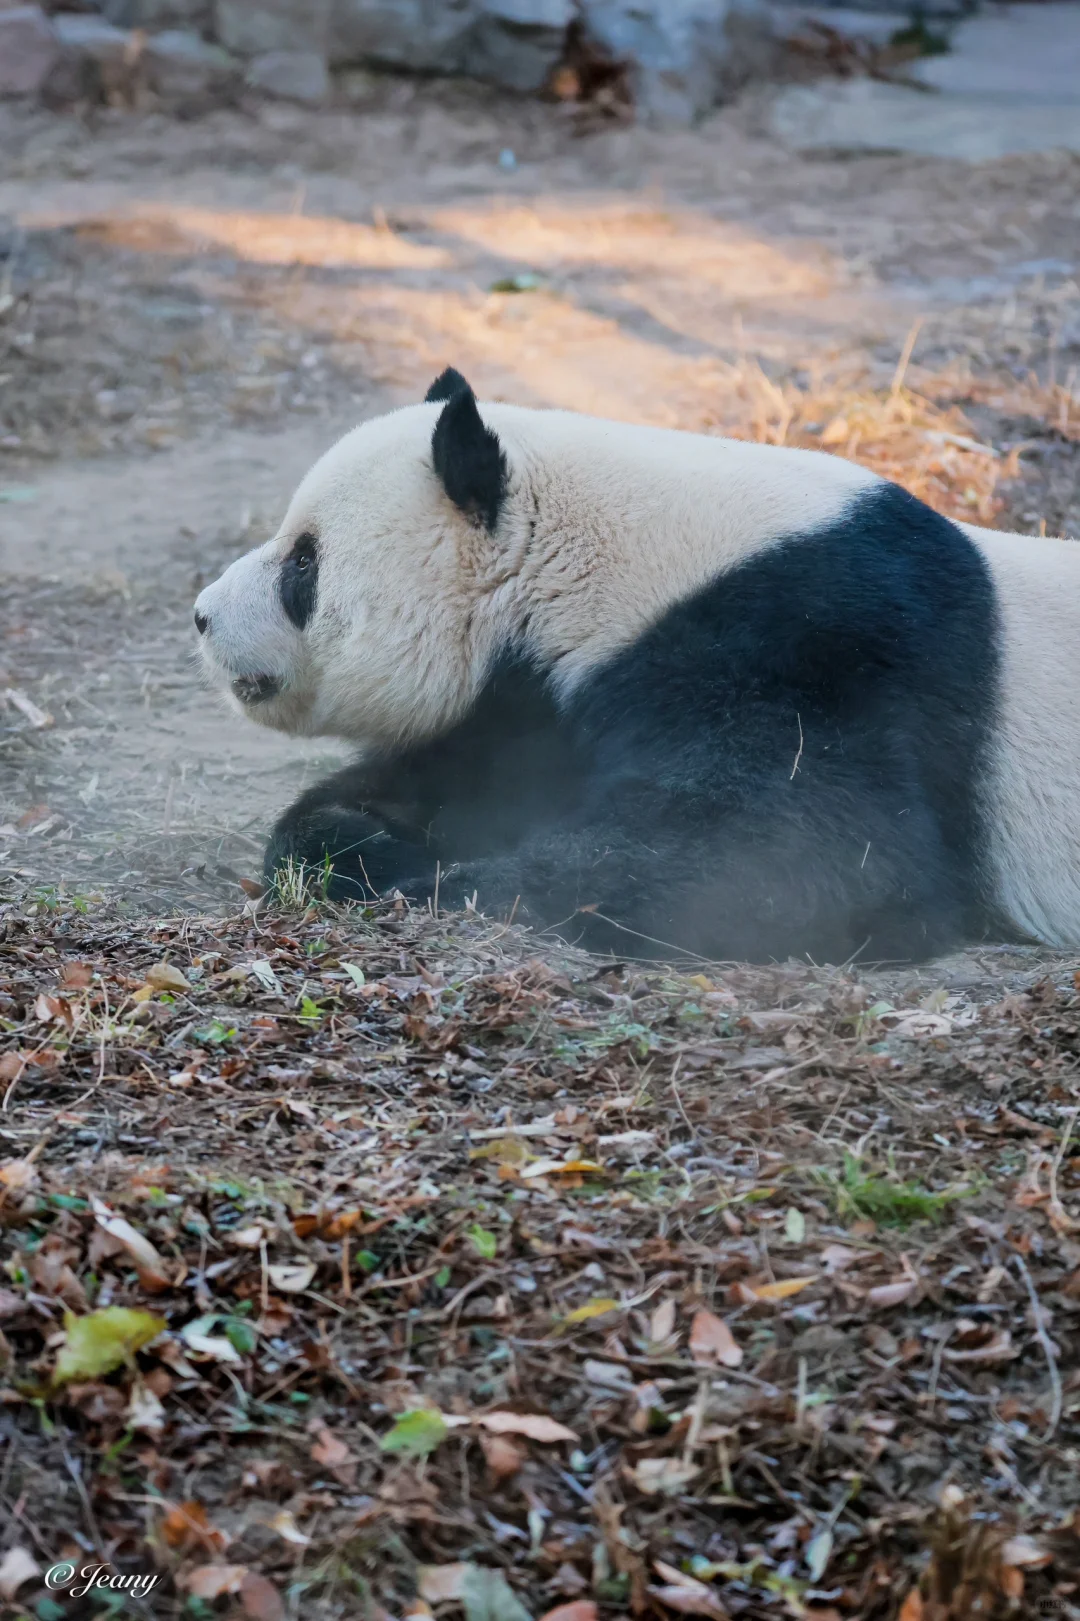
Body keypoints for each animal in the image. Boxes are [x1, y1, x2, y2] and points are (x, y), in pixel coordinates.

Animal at [191, 367, 1076, 959]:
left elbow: (812, 853)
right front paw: (368, 844)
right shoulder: (530, 705)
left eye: (304, 563)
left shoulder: (809, 645)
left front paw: (455, 885)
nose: (202, 615)